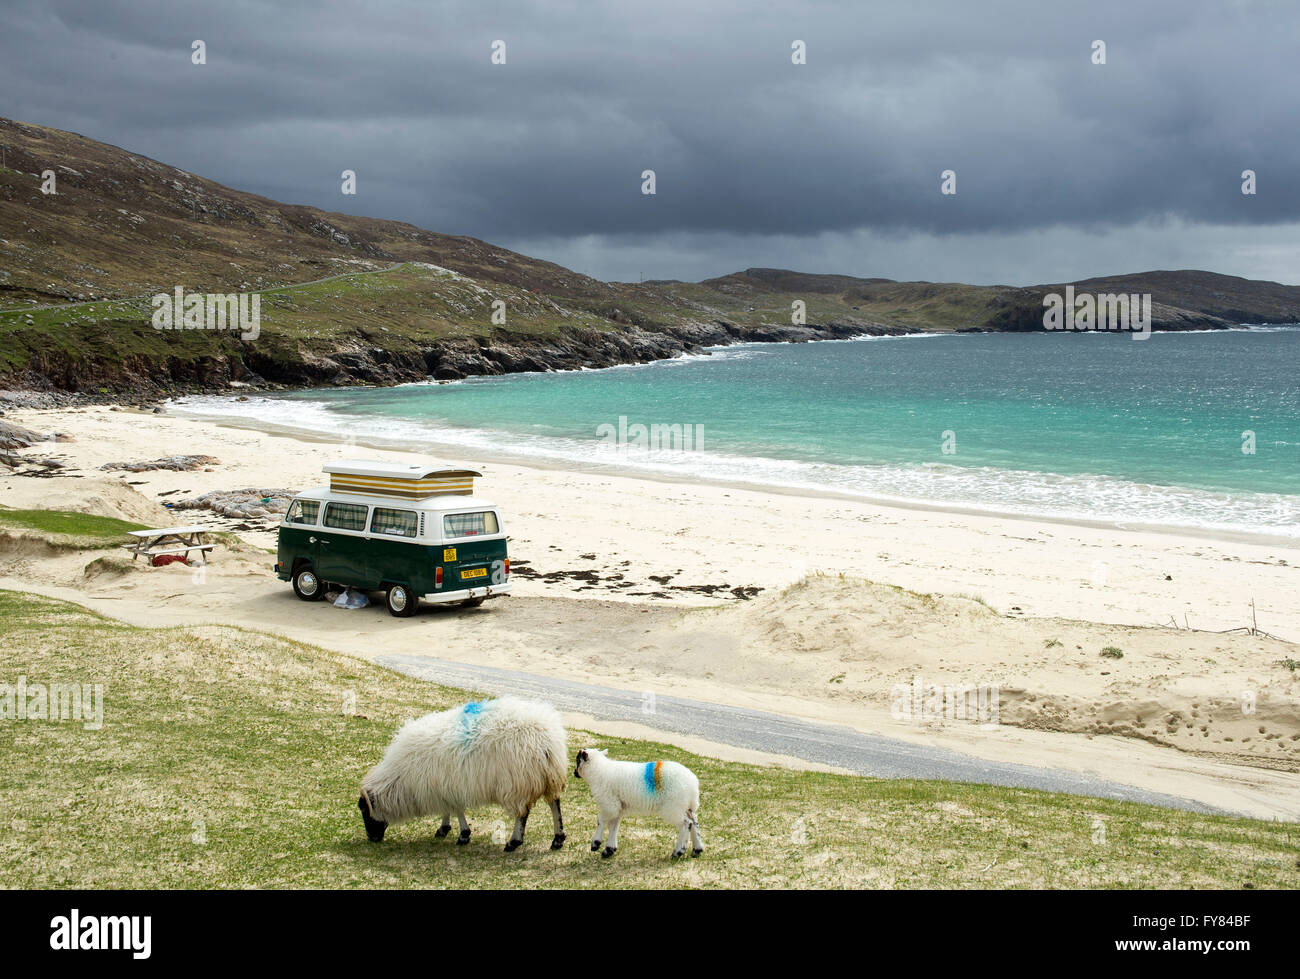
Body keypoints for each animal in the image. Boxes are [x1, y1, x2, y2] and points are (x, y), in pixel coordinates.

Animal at [358, 696, 566, 847]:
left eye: (364, 810)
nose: (372, 838)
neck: (400, 779)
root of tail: (547, 740)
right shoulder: (444, 785)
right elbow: (449, 809)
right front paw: (444, 828)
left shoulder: (449, 786)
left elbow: (456, 809)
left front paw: (463, 834)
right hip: (548, 778)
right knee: (554, 804)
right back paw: (558, 838)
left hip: (519, 782)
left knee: (523, 814)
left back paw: (514, 842)